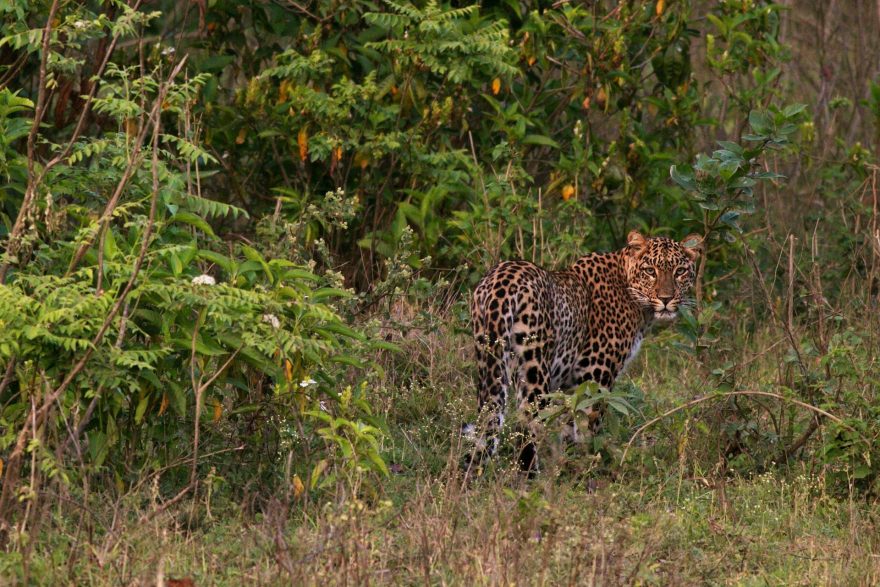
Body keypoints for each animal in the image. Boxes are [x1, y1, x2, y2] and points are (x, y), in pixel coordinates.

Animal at [468, 230, 700, 474]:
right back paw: (532, 476)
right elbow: (588, 429)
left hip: (487, 362)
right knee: (529, 426)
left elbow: (569, 427)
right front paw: (587, 469)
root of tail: (501, 282)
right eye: (650, 271)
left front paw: (568, 467)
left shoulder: (570, 387)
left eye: (680, 271)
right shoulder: (595, 375)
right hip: (533, 370)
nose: (666, 299)